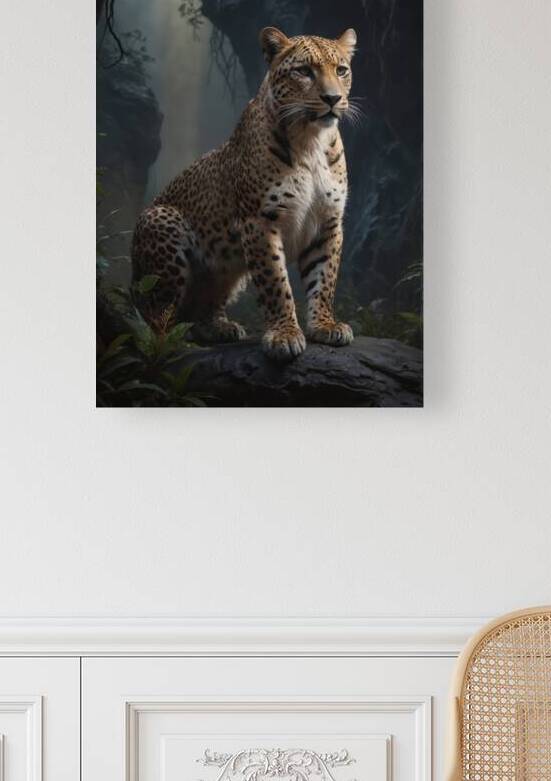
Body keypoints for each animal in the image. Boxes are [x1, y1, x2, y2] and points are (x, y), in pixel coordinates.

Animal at [131, 26, 358, 361]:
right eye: (304, 72)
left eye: (341, 70)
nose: (333, 98)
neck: (311, 141)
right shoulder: (260, 221)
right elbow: (276, 283)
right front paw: (284, 335)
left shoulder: (328, 222)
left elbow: (325, 278)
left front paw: (325, 325)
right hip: (161, 222)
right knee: (157, 314)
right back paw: (172, 341)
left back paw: (219, 327)